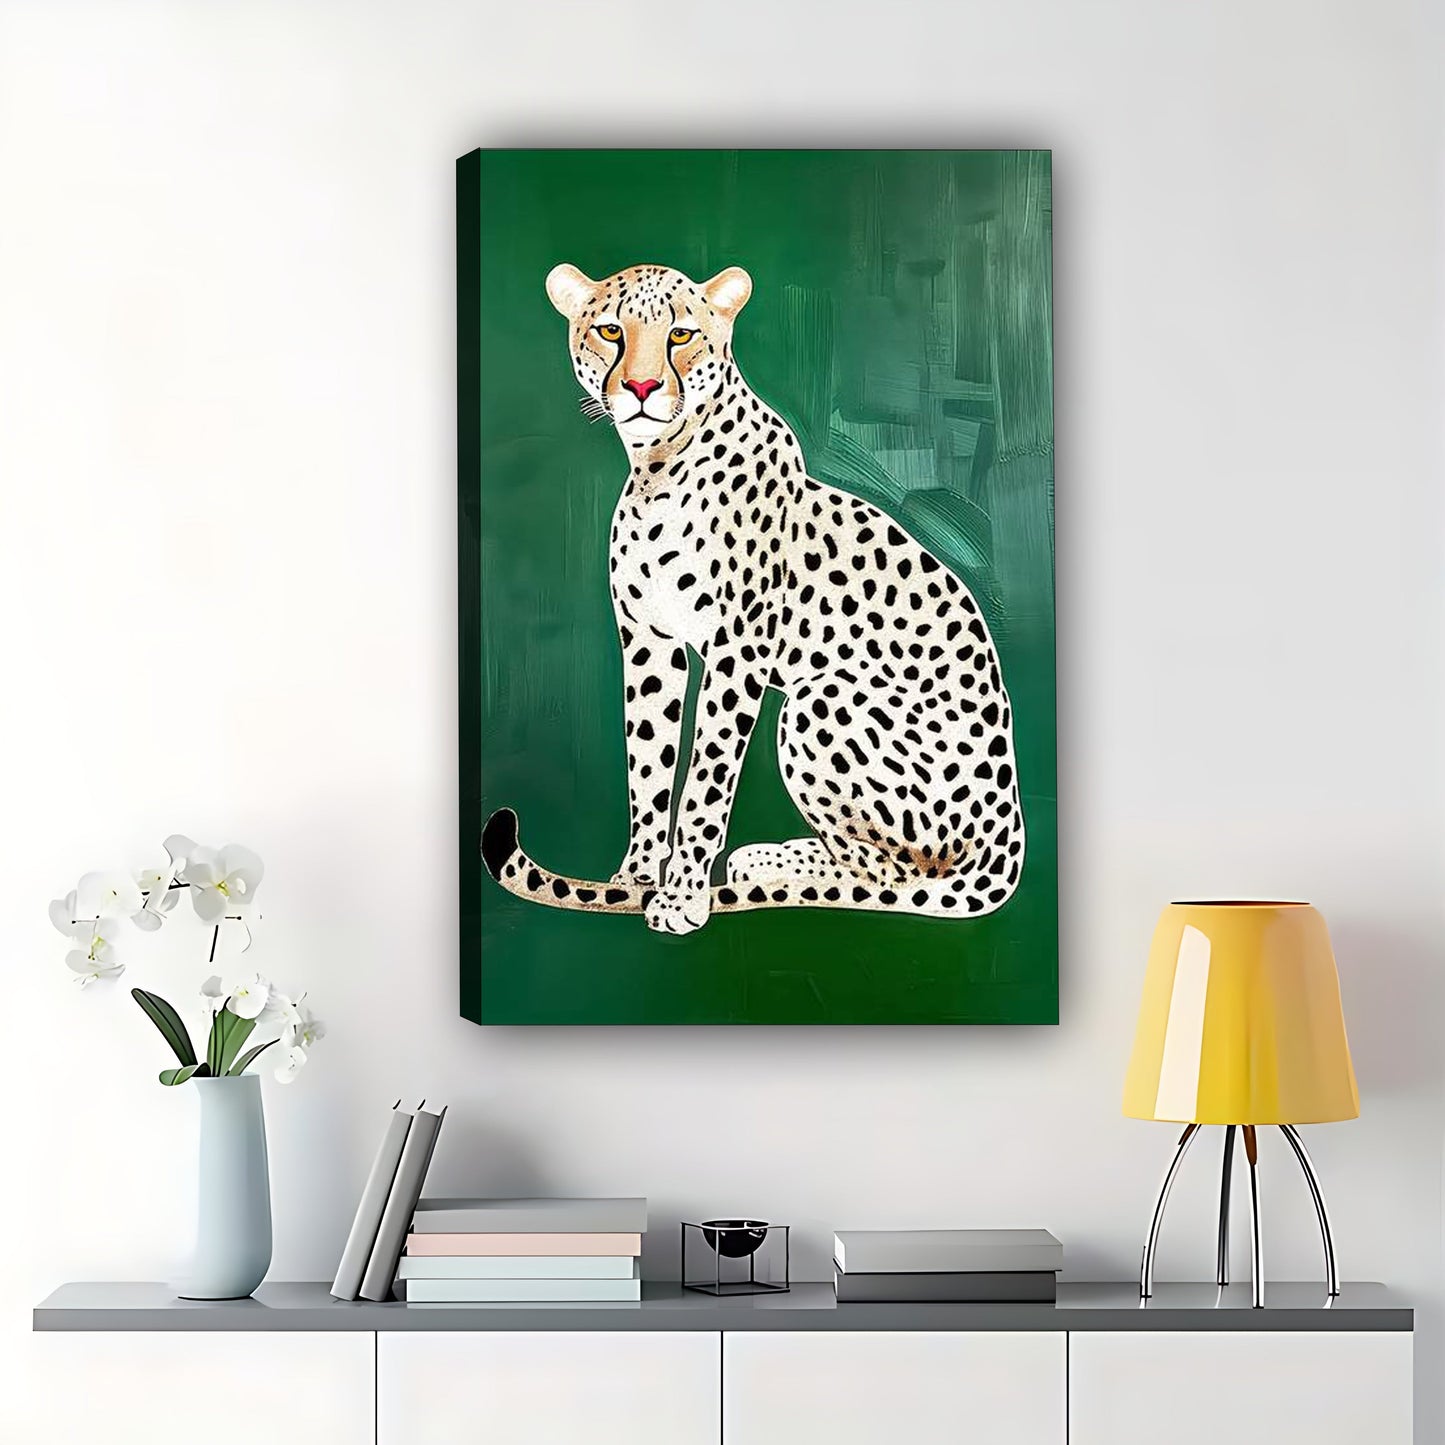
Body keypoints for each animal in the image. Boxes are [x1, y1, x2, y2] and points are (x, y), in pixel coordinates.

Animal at [481, 261, 1026, 936]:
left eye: (681, 334)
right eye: (610, 330)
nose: (640, 386)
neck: (657, 466)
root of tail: (1009, 840)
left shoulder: (735, 652)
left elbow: (706, 780)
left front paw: (682, 897)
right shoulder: (650, 643)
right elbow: (649, 765)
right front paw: (634, 879)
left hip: (819, 701)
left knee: (896, 873)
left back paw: (769, 868)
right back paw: (766, 860)